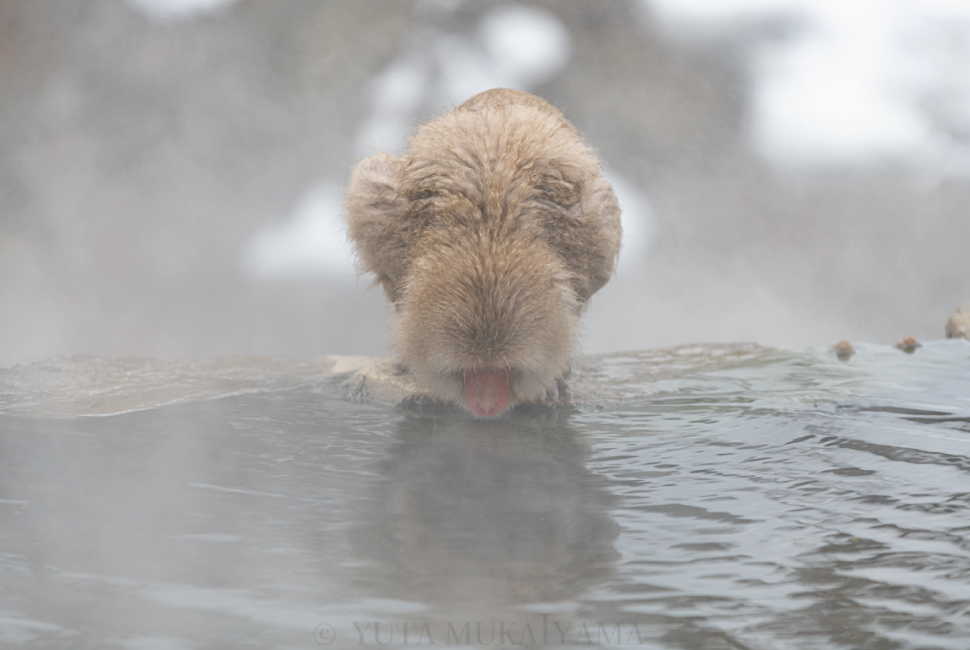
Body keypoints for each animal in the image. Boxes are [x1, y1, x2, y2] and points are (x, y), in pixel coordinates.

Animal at [348, 88, 620, 418]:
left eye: (504, 370)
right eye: (471, 370)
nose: (487, 404)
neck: (488, 243)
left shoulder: (588, 237)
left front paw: (555, 377)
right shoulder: (387, 224)